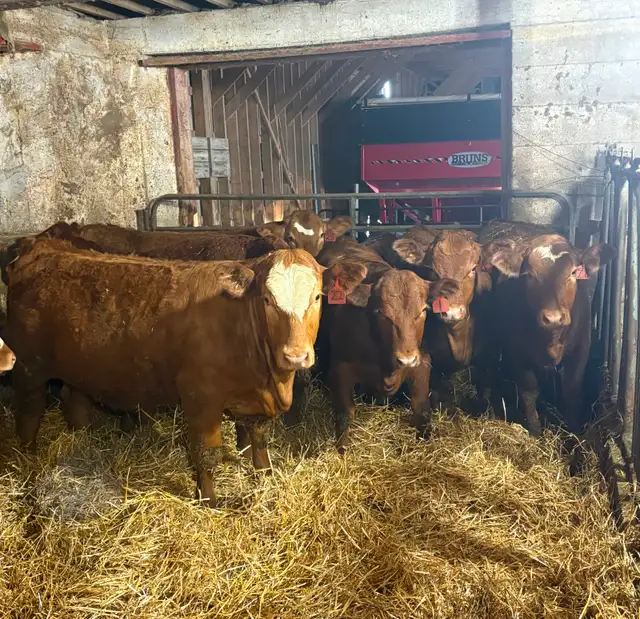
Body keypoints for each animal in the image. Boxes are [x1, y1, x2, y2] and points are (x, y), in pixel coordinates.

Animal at [5, 238, 340, 506]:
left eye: (317, 297)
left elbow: (258, 439)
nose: (295, 356)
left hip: (77, 367)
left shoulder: (254, 397)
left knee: (73, 401)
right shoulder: (200, 398)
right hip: (29, 366)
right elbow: (206, 453)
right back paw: (28, 460)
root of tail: (41, 246)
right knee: (29, 413)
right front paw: (210, 501)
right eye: (268, 300)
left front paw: (265, 473)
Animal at [316, 237, 457, 450]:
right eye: (381, 313)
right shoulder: (341, 368)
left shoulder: (422, 363)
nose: (406, 359)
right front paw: (342, 449)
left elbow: (421, 409)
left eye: (423, 310)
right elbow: (344, 414)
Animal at [481, 233, 615, 435]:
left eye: (573, 273)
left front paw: (573, 432)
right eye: (529, 275)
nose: (553, 318)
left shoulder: (582, 347)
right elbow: (529, 391)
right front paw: (536, 431)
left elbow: (572, 388)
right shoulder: (515, 351)